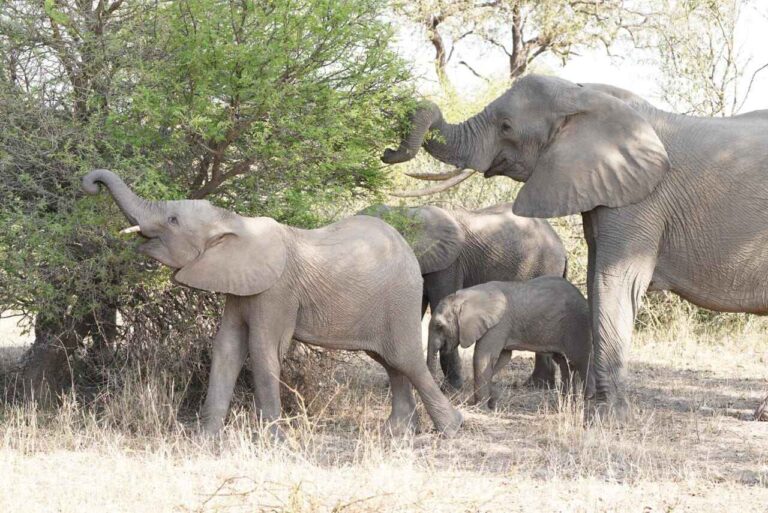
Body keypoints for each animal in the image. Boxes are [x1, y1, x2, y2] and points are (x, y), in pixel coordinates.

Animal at [81, 169, 463, 436]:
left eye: (173, 220)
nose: (91, 185)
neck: (234, 221)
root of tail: (406, 247)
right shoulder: (240, 288)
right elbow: (227, 347)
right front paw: (205, 438)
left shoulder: (277, 291)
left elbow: (262, 348)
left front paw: (271, 439)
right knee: (388, 360)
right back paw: (398, 432)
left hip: (401, 298)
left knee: (405, 359)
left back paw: (451, 429)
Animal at [361, 203, 567, 391]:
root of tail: (560, 243)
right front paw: (393, 386)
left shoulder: (448, 263)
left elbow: (442, 302)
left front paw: (451, 389)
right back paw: (540, 385)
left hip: (545, 265)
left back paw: (537, 386)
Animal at [427, 277, 593, 409]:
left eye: (439, 326)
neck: (467, 296)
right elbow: (502, 358)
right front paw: (492, 398)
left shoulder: (498, 325)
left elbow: (483, 357)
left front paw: (480, 408)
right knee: (565, 365)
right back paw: (567, 405)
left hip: (578, 326)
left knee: (581, 361)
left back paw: (587, 401)